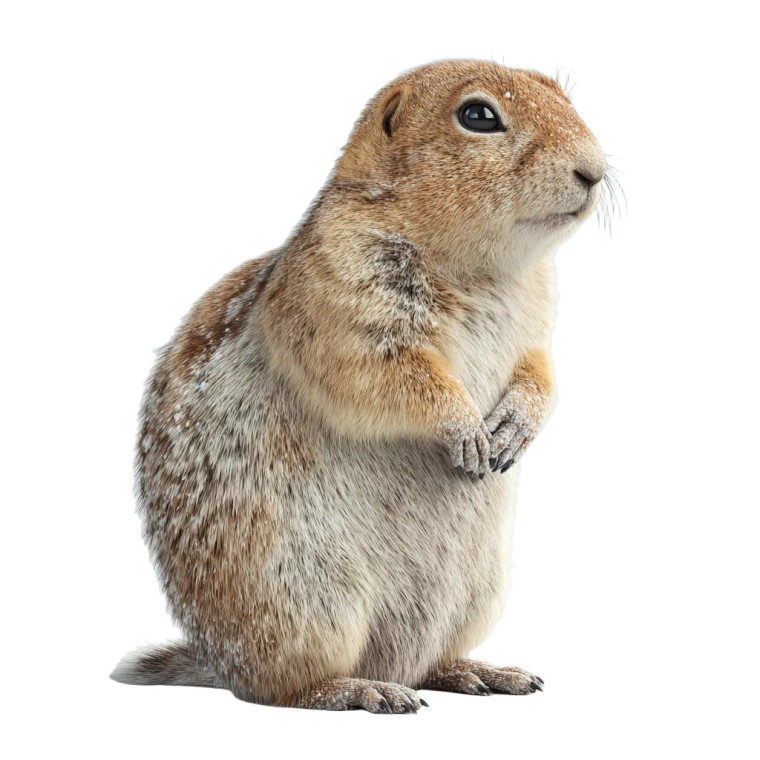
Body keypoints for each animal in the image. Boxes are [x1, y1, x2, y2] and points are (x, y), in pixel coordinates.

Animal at [112, 60, 606, 713]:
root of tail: (216, 662)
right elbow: (384, 374)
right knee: (278, 688)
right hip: (304, 601)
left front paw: (512, 429)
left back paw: (478, 672)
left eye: (561, 95)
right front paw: (467, 432)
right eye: (478, 115)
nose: (595, 170)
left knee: (424, 663)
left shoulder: (537, 327)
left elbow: (540, 375)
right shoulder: (337, 294)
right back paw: (358, 689)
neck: (483, 271)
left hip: (474, 595)